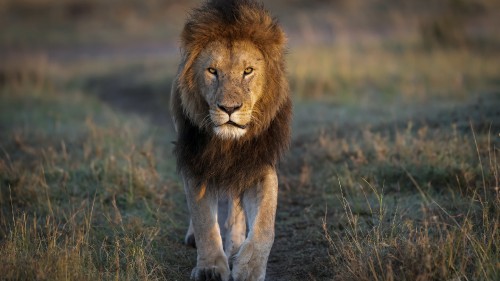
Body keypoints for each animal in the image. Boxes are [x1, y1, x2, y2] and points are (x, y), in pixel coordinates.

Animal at [170, 0, 292, 278]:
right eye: (212, 71)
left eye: (248, 71)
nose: (229, 108)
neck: (228, 143)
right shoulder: (196, 163)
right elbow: (204, 221)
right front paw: (211, 268)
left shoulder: (258, 166)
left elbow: (265, 225)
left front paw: (249, 267)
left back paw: (235, 245)